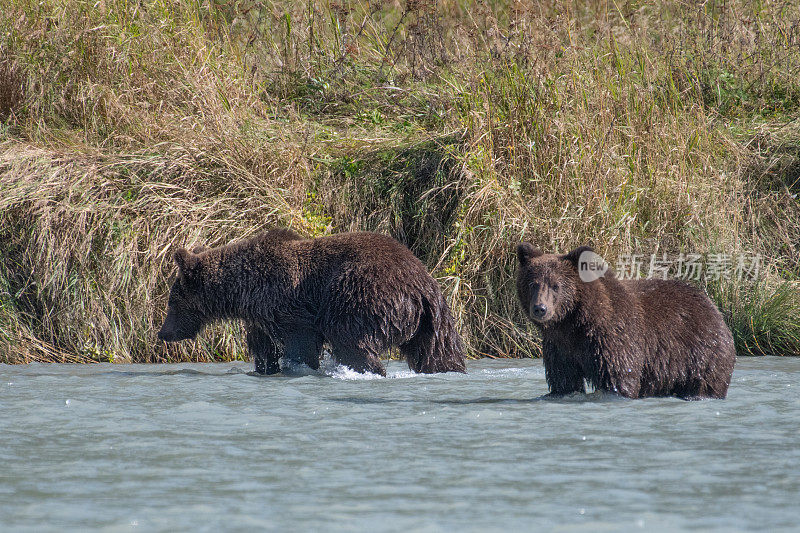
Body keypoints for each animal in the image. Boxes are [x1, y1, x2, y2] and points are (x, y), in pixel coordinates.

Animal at [156, 229, 466, 374]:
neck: (244, 291)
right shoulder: (261, 318)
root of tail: (420, 286)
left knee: (351, 341)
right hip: (435, 321)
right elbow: (264, 350)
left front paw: (298, 367)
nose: (163, 332)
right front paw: (266, 367)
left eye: (172, 302)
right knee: (438, 354)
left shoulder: (287, 305)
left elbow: (300, 344)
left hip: (361, 296)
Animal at [516, 243, 736, 396]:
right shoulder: (560, 347)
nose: (540, 309)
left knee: (706, 383)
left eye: (556, 285)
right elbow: (564, 381)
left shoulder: (612, 338)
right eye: (532, 283)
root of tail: (712, 305)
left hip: (702, 352)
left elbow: (619, 378)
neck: (573, 323)